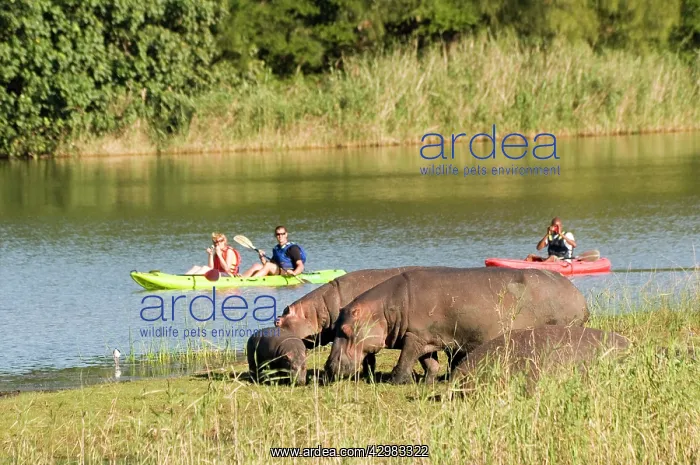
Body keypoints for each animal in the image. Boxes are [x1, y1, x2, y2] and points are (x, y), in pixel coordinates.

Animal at [325, 267, 590, 384]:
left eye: (345, 330)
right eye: (335, 326)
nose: (328, 366)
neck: (384, 309)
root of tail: (579, 296)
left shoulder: (414, 335)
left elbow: (405, 359)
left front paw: (395, 381)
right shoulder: (427, 336)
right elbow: (429, 362)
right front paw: (428, 381)